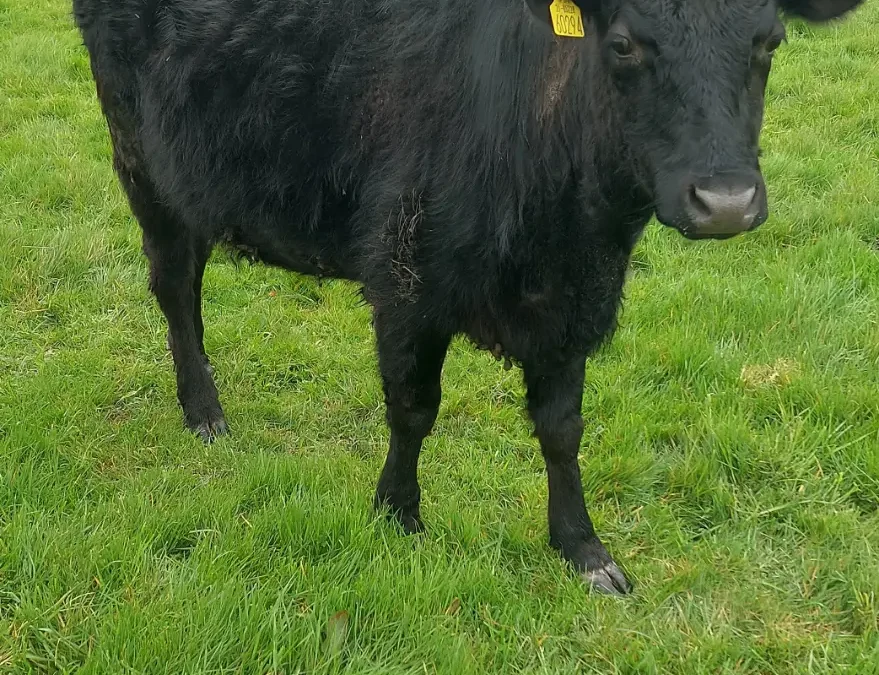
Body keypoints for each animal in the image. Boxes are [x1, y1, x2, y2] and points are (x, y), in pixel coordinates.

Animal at [73, 0, 864, 595]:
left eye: (769, 41)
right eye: (623, 45)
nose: (726, 202)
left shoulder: (574, 304)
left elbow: (562, 428)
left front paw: (582, 548)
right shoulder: (405, 280)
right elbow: (413, 409)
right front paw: (398, 514)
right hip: (141, 157)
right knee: (176, 288)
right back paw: (204, 409)